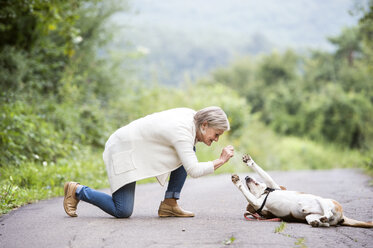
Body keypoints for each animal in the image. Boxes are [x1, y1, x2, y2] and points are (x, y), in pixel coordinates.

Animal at [231, 154, 370, 228]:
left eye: (257, 182)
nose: (246, 177)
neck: (264, 193)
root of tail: (342, 216)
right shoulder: (258, 203)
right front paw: (238, 180)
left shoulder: (273, 187)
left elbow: (264, 175)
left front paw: (249, 163)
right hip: (310, 215)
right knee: (325, 221)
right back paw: (317, 221)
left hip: (322, 200)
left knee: (328, 212)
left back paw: (322, 218)